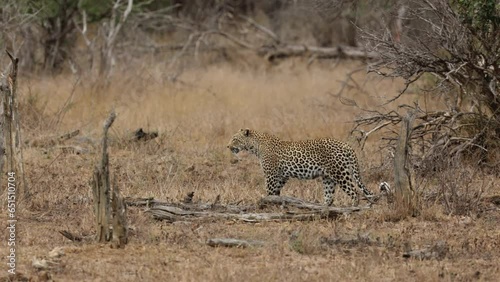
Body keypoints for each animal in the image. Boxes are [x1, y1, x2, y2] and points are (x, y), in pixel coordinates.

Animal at [228, 129, 390, 206]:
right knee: (329, 197)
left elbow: (269, 192)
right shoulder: (281, 177)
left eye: (235, 139)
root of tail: (347, 146)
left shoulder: (271, 176)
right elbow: (276, 194)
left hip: (340, 173)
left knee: (354, 192)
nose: (228, 146)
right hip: (328, 178)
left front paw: (266, 205)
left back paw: (350, 210)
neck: (256, 146)